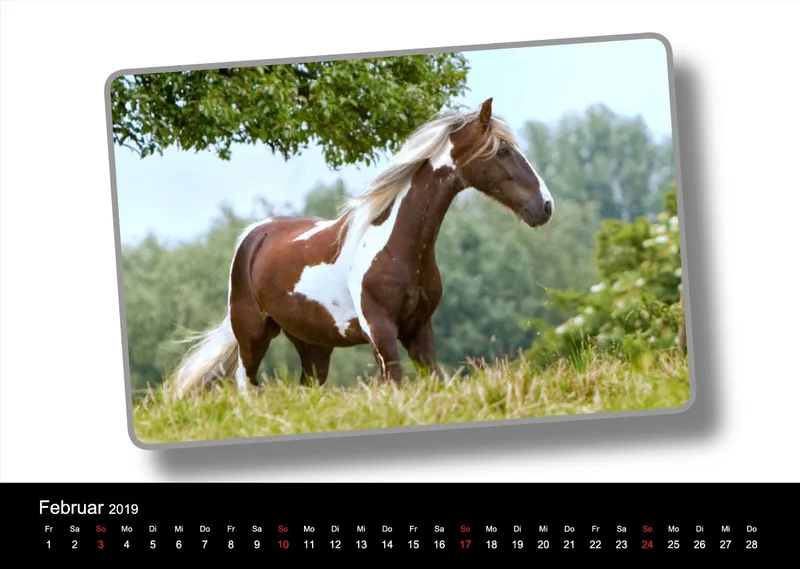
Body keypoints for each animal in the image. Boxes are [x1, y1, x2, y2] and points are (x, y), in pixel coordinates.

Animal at [172, 97, 554, 398]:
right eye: (503, 151)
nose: (544, 206)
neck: (396, 247)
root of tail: (253, 237)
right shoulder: (380, 332)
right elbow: (396, 384)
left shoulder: (419, 328)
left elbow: (432, 380)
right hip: (252, 335)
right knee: (245, 383)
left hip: (313, 345)